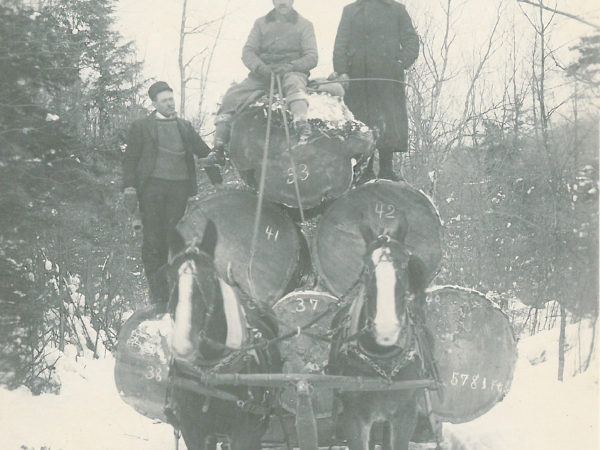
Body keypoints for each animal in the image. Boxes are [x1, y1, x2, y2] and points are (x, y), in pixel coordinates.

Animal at [165, 219, 280, 450]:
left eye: (210, 277)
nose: (182, 345)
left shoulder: (245, 433)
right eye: (170, 278)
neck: (211, 373)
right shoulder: (193, 431)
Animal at [328, 217, 432, 446]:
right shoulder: (354, 418)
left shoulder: (405, 416)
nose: (386, 329)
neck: (384, 362)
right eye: (367, 268)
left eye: (403, 265)